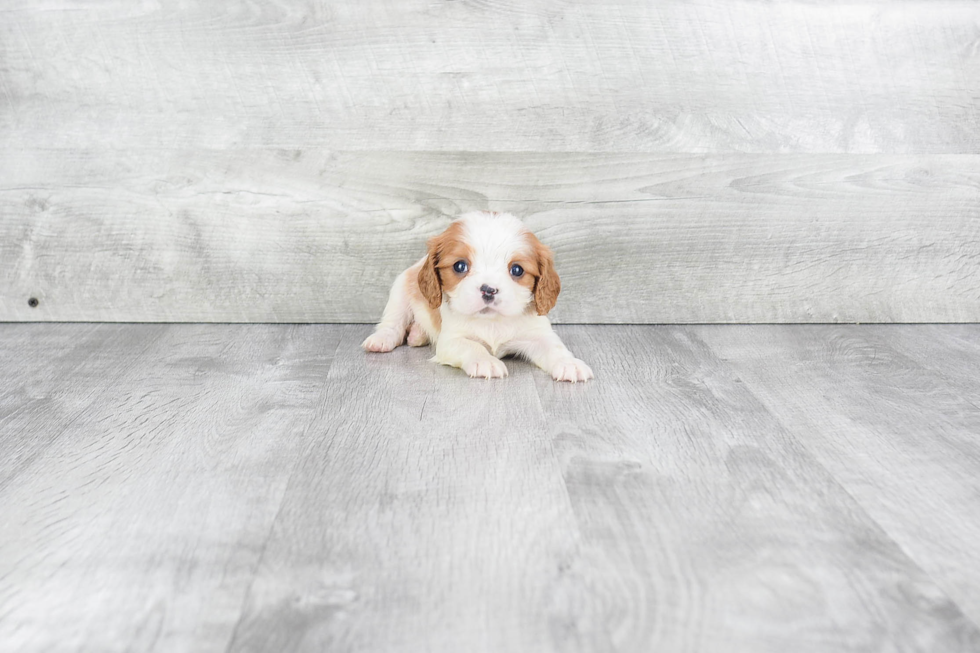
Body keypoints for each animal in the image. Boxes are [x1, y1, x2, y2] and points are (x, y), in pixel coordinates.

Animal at [360, 211, 588, 380]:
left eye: (517, 270)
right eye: (460, 266)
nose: (488, 289)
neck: (492, 321)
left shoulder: (538, 334)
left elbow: (555, 348)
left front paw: (570, 364)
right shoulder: (451, 340)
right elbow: (472, 346)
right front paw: (486, 361)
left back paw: (417, 334)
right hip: (400, 291)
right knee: (393, 323)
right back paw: (382, 339)